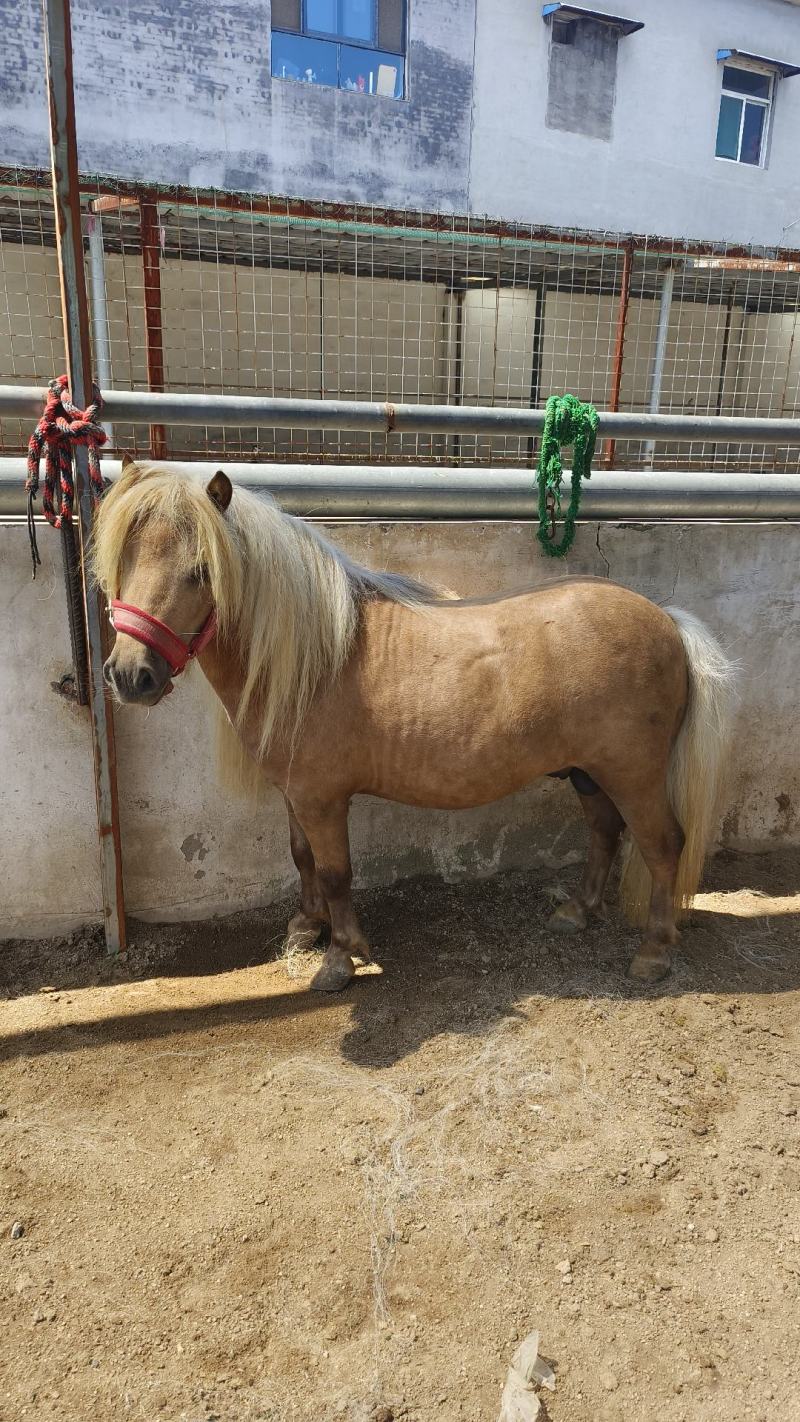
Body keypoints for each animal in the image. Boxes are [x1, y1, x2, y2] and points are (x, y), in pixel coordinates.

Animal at [94, 459, 735, 991]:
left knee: (661, 844)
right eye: (123, 562)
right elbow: (301, 858)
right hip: (587, 771)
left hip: (633, 774)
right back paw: (576, 912)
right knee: (605, 831)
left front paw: (340, 958)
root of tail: (667, 621)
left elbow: (335, 872)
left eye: (202, 571)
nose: (131, 676)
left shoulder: (322, 799)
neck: (317, 657)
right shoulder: (295, 793)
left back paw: (654, 952)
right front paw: (307, 927)